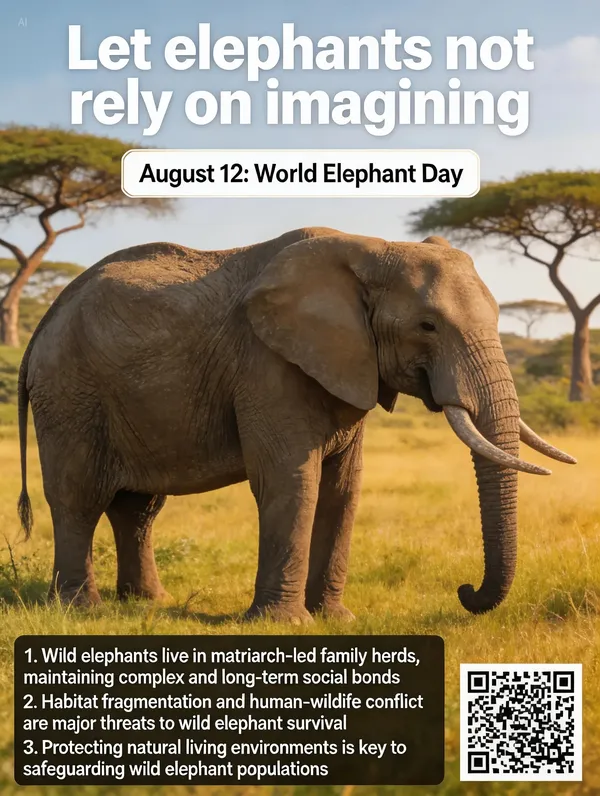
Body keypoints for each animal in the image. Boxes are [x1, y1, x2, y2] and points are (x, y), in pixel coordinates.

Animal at [16, 226, 576, 623]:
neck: (372, 249)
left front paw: (335, 619)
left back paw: (147, 603)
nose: (464, 591)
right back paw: (79, 609)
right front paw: (284, 623)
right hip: (69, 392)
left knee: (138, 508)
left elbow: (343, 489)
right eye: (428, 326)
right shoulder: (267, 364)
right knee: (78, 496)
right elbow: (292, 481)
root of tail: (43, 321)